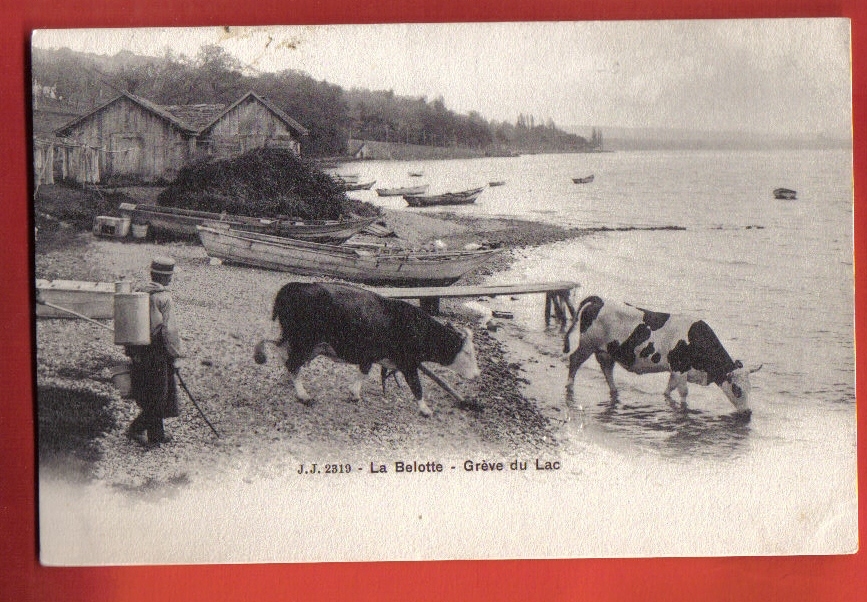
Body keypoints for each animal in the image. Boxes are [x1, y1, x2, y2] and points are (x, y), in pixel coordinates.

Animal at [251, 280, 482, 412]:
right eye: (467, 352)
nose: (477, 374)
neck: (417, 327)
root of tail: (290, 288)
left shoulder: (370, 356)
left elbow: (363, 373)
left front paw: (354, 394)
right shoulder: (408, 363)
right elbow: (416, 387)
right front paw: (425, 409)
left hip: (297, 340)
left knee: (282, 353)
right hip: (304, 340)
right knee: (291, 362)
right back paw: (303, 395)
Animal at [564, 294, 760, 412]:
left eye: (751, 388)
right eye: (737, 389)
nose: (748, 413)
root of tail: (600, 300)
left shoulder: (675, 370)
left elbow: (669, 389)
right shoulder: (680, 368)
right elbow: (683, 392)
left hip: (606, 352)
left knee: (606, 370)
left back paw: (614, 391)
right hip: (587, 344)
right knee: (574, 361)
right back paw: (569, 387)